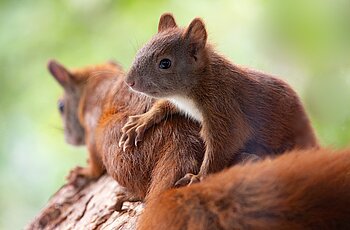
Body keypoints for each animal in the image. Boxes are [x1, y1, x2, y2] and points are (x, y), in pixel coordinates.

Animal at [119, 12, 318, 185]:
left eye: (165, 63)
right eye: (140, 50)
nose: (129, 81)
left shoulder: (223, 107)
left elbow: (221, 147)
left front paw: (199, 178)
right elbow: (164, 105)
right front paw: (141, 121)